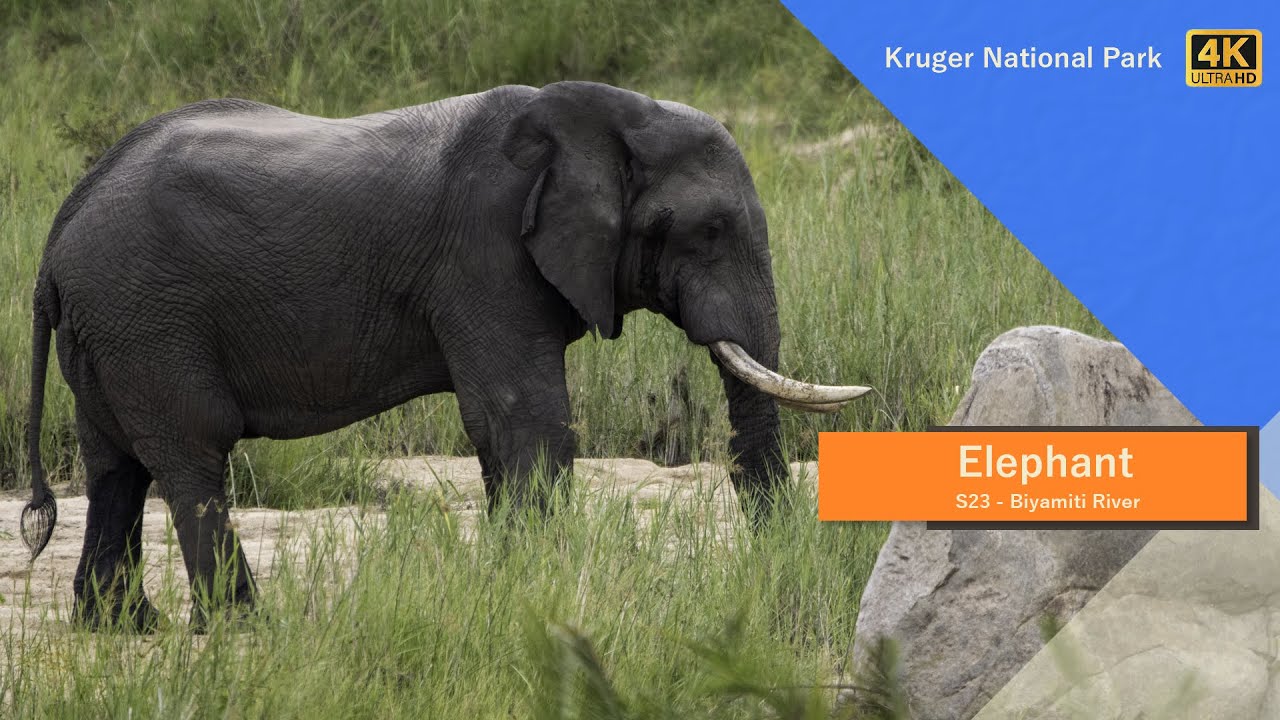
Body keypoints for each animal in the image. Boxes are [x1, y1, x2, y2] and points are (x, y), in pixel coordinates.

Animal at [21, 81, 870, 631]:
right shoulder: (485, 253)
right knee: (191, 453)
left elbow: (499, 429)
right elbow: (527, 420)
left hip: (111, 327)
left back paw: (124, 627)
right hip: (146, 314)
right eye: (711, 230)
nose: (771, 568)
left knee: (116, 465)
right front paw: (540, 591)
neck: (610, 117)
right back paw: (241, 627)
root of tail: (59, 230)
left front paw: (512, 585)